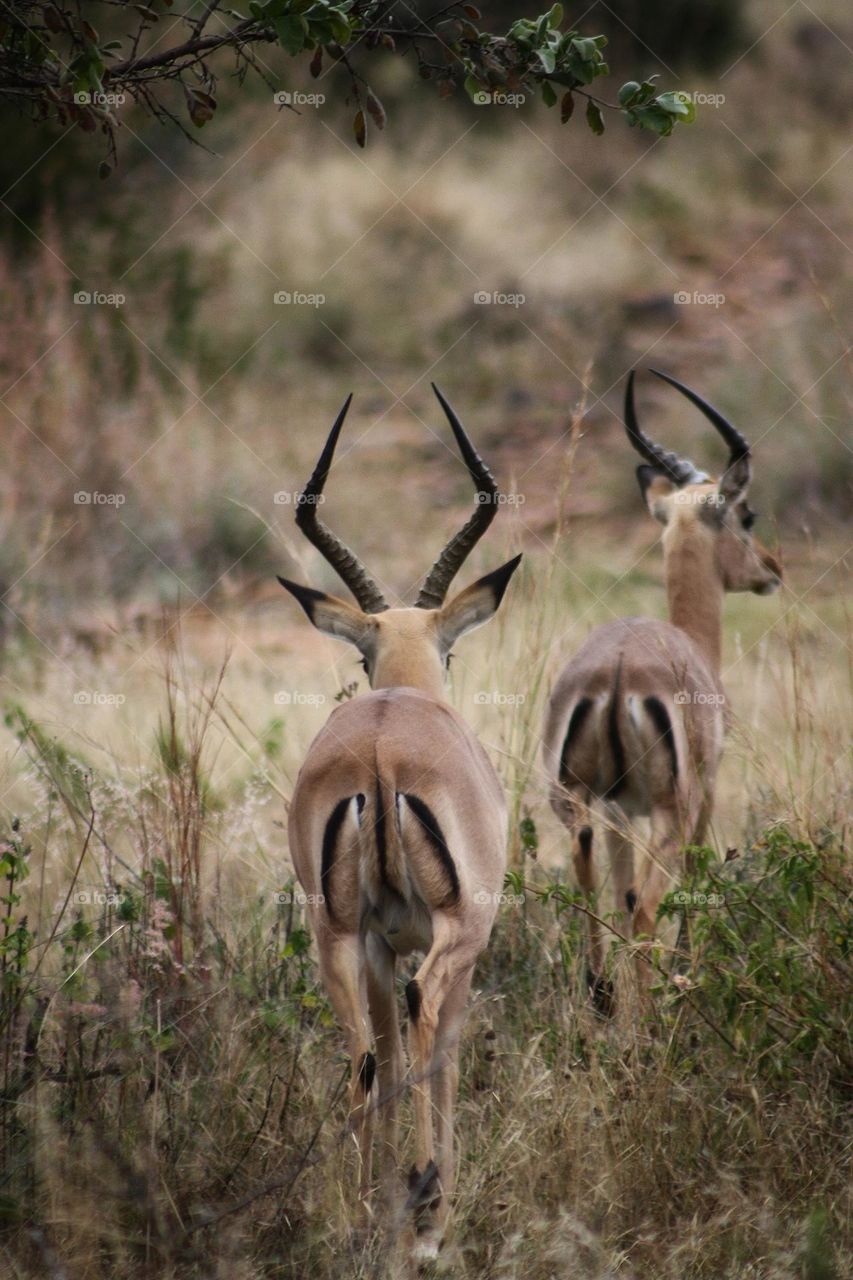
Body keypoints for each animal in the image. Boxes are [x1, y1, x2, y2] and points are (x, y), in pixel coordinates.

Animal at [277, 386, 517, 1259]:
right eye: (452, 653)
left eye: (361, 655)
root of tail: (380, 754)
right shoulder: (467, 935)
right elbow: (441, 1051)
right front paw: (432, 1210)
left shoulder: (379, 941)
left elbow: (382, 1053)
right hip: (448, 932)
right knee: (420, 1025)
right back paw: (425, 1212)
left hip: (336, 935)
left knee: (362, 1060)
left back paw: (361, 1215)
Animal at [540, 371, 778, 998]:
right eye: (747, 516)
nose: (772, 569)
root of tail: (617, 671)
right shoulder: (708, 791)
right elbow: (689, 883)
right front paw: (687, 970)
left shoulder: (620, 810)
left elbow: (619, 893)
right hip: (671, 809)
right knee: (648, 909)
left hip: (576, 802)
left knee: (590, 887)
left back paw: (602, 995)